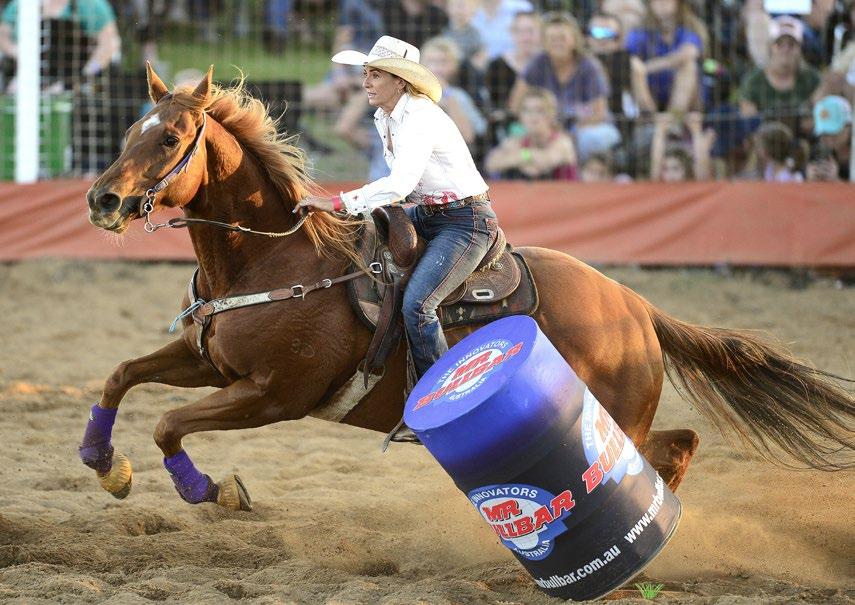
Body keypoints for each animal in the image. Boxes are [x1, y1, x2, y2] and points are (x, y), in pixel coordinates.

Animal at [82, 64, 853, 511]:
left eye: (170, 136)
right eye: (129, 129)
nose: (101, 200)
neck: (276, 261)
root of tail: (635, 308)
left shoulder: (273, 395)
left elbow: (167, 423)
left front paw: (213, 490)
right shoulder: (211, 362)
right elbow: (120, 376)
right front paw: (103, 463)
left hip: (613, 416)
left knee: (664, 452)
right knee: (680, 442)